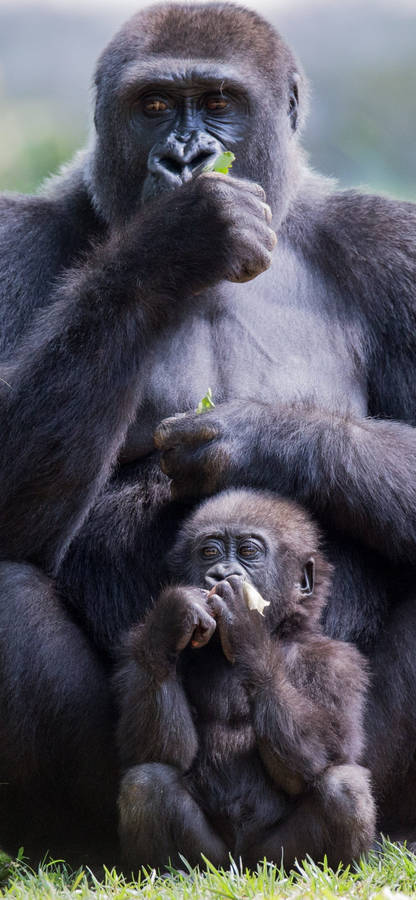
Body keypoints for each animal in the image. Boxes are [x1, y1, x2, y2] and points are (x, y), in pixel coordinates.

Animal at [115, 489, 376, 871]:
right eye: (209, 552)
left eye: (249, 552)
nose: (220, 573)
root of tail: (241, 866)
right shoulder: (136, 648)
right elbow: (156, 749)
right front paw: (173, 616)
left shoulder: (338, 662)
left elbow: (327, 751)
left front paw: (246, 628)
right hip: (212, 859)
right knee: (147, 781)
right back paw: (168, 873)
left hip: (273, 859)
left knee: (344, 787)